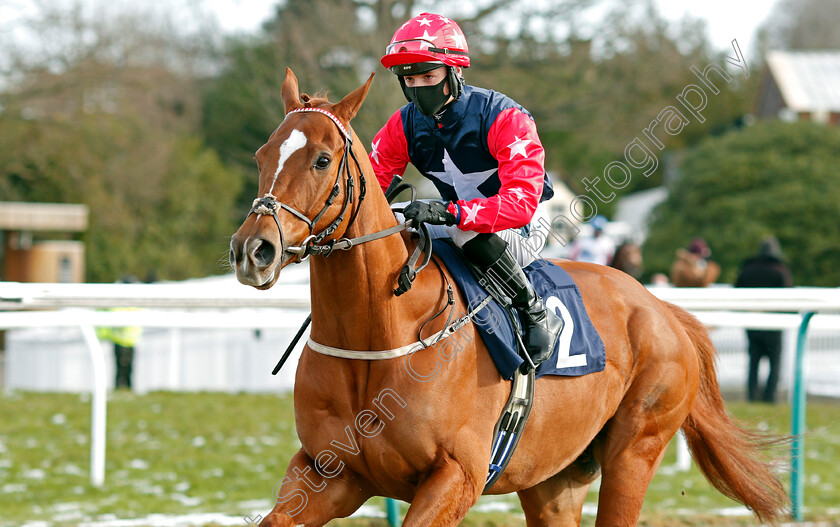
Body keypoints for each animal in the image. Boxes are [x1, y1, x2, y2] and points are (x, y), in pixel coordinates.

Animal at [230, 69, 788, 524]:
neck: (378, 334)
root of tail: (662, 308)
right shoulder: (329, 472)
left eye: (322, 160)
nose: (252, 249)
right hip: (554, 479)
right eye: (261, 155)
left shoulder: (457, 476)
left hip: (635, 451)